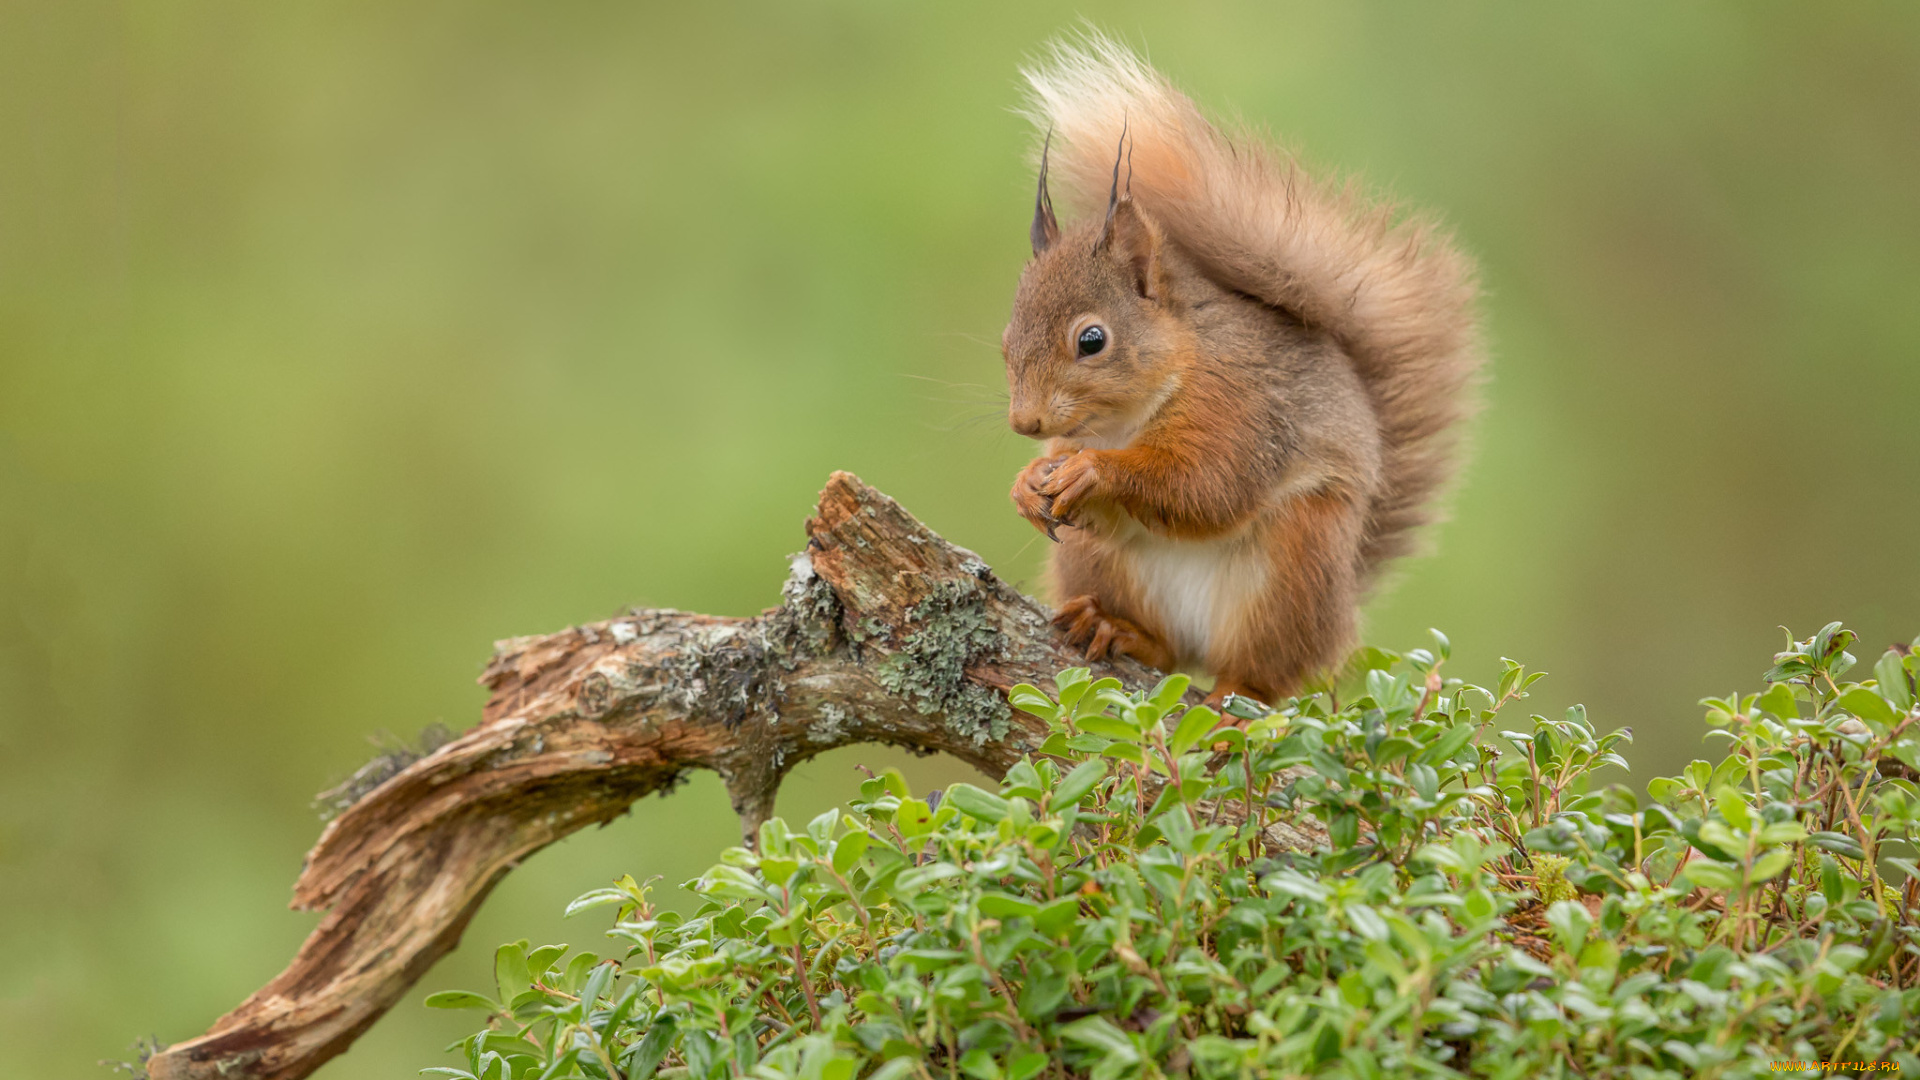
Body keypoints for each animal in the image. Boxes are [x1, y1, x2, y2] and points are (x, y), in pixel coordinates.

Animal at [1006, 35, 1482, 699]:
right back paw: (1113, 627)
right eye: (1007, 336)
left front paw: (1094, 471)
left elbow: (1207, 485)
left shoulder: (1241, 405)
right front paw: (1029, 482)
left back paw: (1236, 700)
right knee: (1166, 650)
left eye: (1092, 340)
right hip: (1094, 562)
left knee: (1265, 674)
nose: (1024, 424)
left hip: (1292, 569)